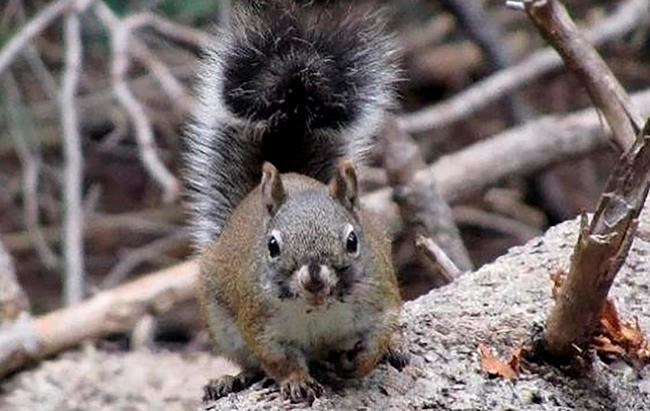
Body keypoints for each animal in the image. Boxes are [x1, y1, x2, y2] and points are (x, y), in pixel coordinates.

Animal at [183, 0, 406, 404]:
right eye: (272, 246)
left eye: (353, 241)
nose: (314, 278)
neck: (317, 308)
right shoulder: (261, 324)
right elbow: (278, 359)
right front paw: (296, 381)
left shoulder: (380, 299)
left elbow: (377, 338)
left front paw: (368, 359)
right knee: (250, 364)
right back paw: (231, 379)